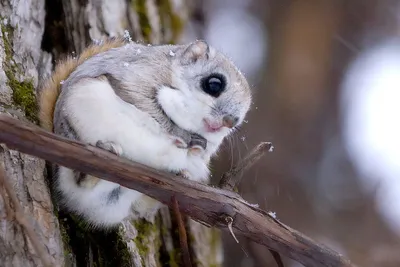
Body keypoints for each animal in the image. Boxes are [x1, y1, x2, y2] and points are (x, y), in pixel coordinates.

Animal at [36, 38, 250, 228]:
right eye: (214, 83)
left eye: (242, 116)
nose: (230, 121)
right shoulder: (139, 77)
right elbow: (147, 105)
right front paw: (183, 135)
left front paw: (194, 151)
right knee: (78, 180)